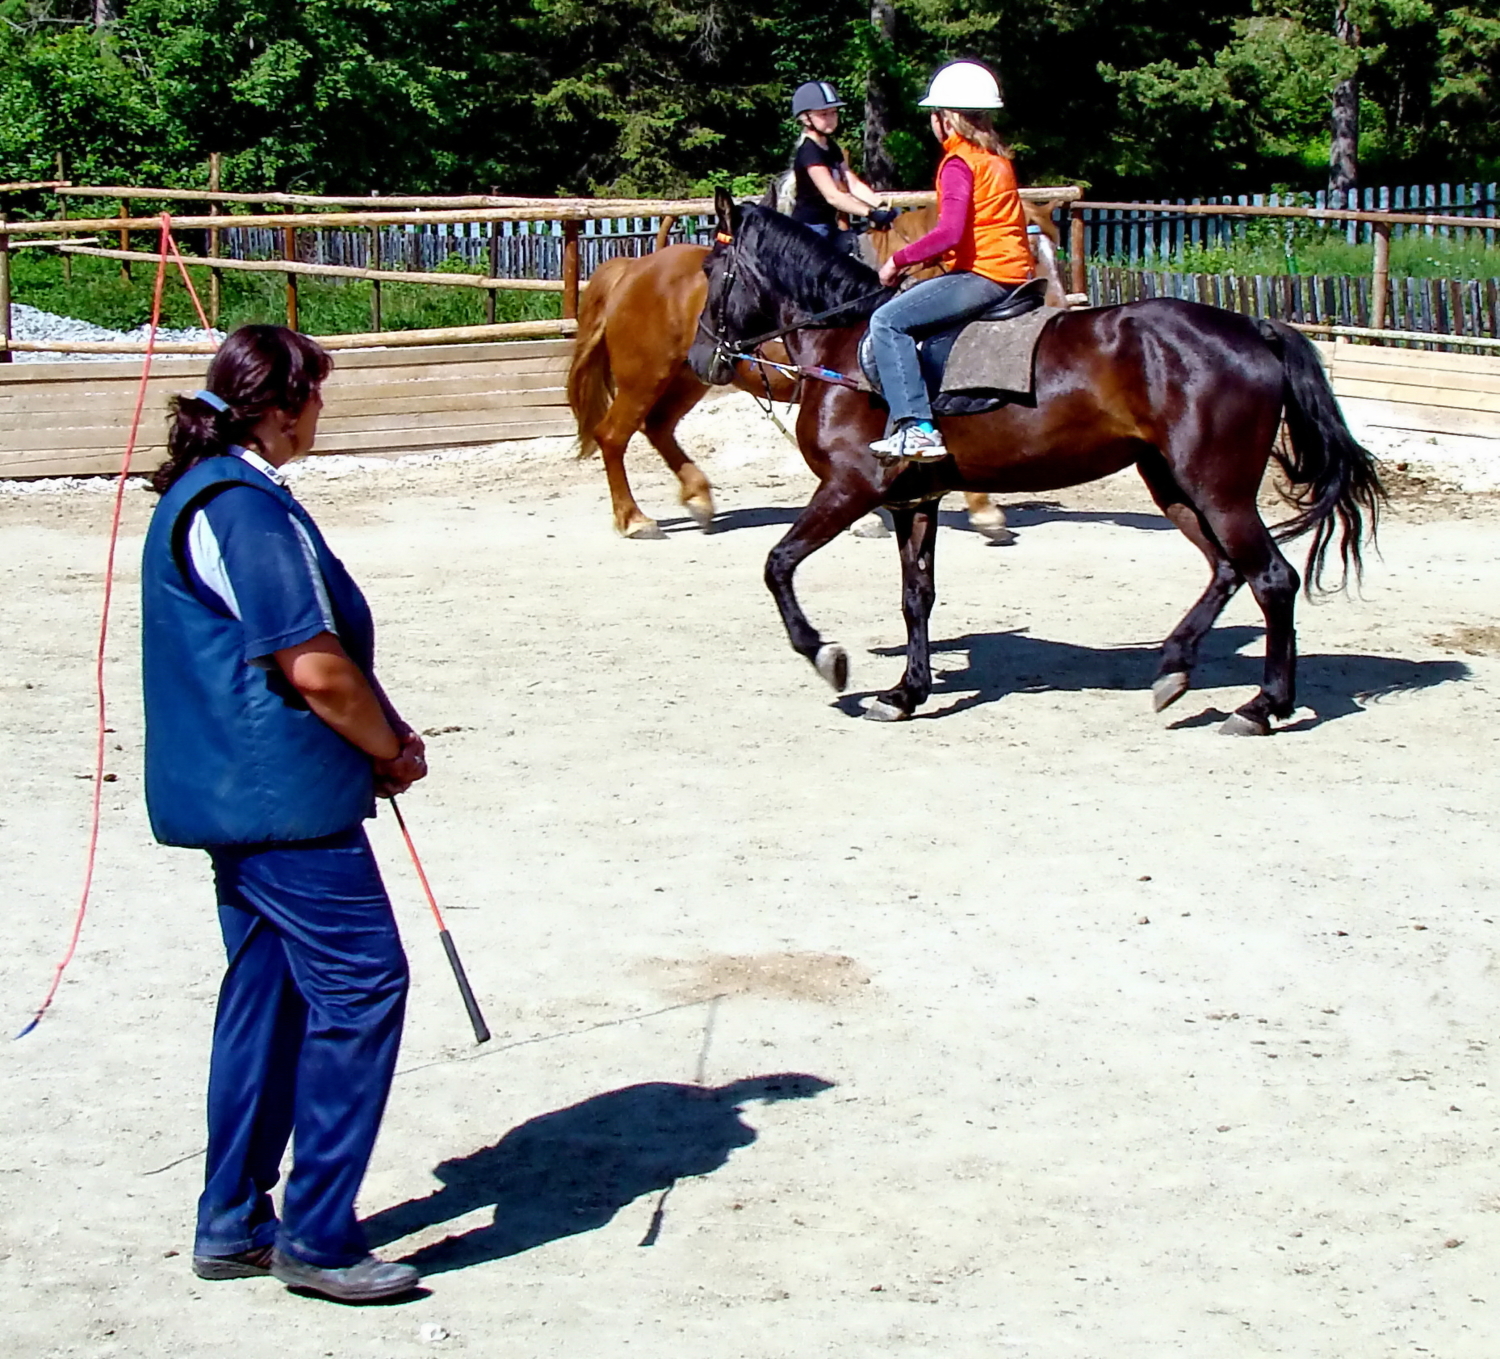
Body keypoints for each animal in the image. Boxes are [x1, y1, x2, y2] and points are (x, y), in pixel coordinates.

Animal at [564, 204, 1068, 537]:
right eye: (1026, 245)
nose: (1061, 309)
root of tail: (631, 267)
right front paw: (981, 510)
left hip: (695, 373)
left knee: (658, 427)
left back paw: (699, 497)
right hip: (645, 377)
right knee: (614, 435)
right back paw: (634, 519)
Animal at [687, 190, 1380, 732]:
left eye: (713, 267)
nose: (699, 359)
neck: (847, 344)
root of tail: (1254, 329)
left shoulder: (850, 488)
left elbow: (778, 563)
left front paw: (823, 654)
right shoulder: (914, 500)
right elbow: (916, 596)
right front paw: (907, 693)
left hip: (1220, 490)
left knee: (1273, 578)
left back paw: (1262, 706)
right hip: (1176, 487)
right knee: (1228, 570)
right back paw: (1176, 669)